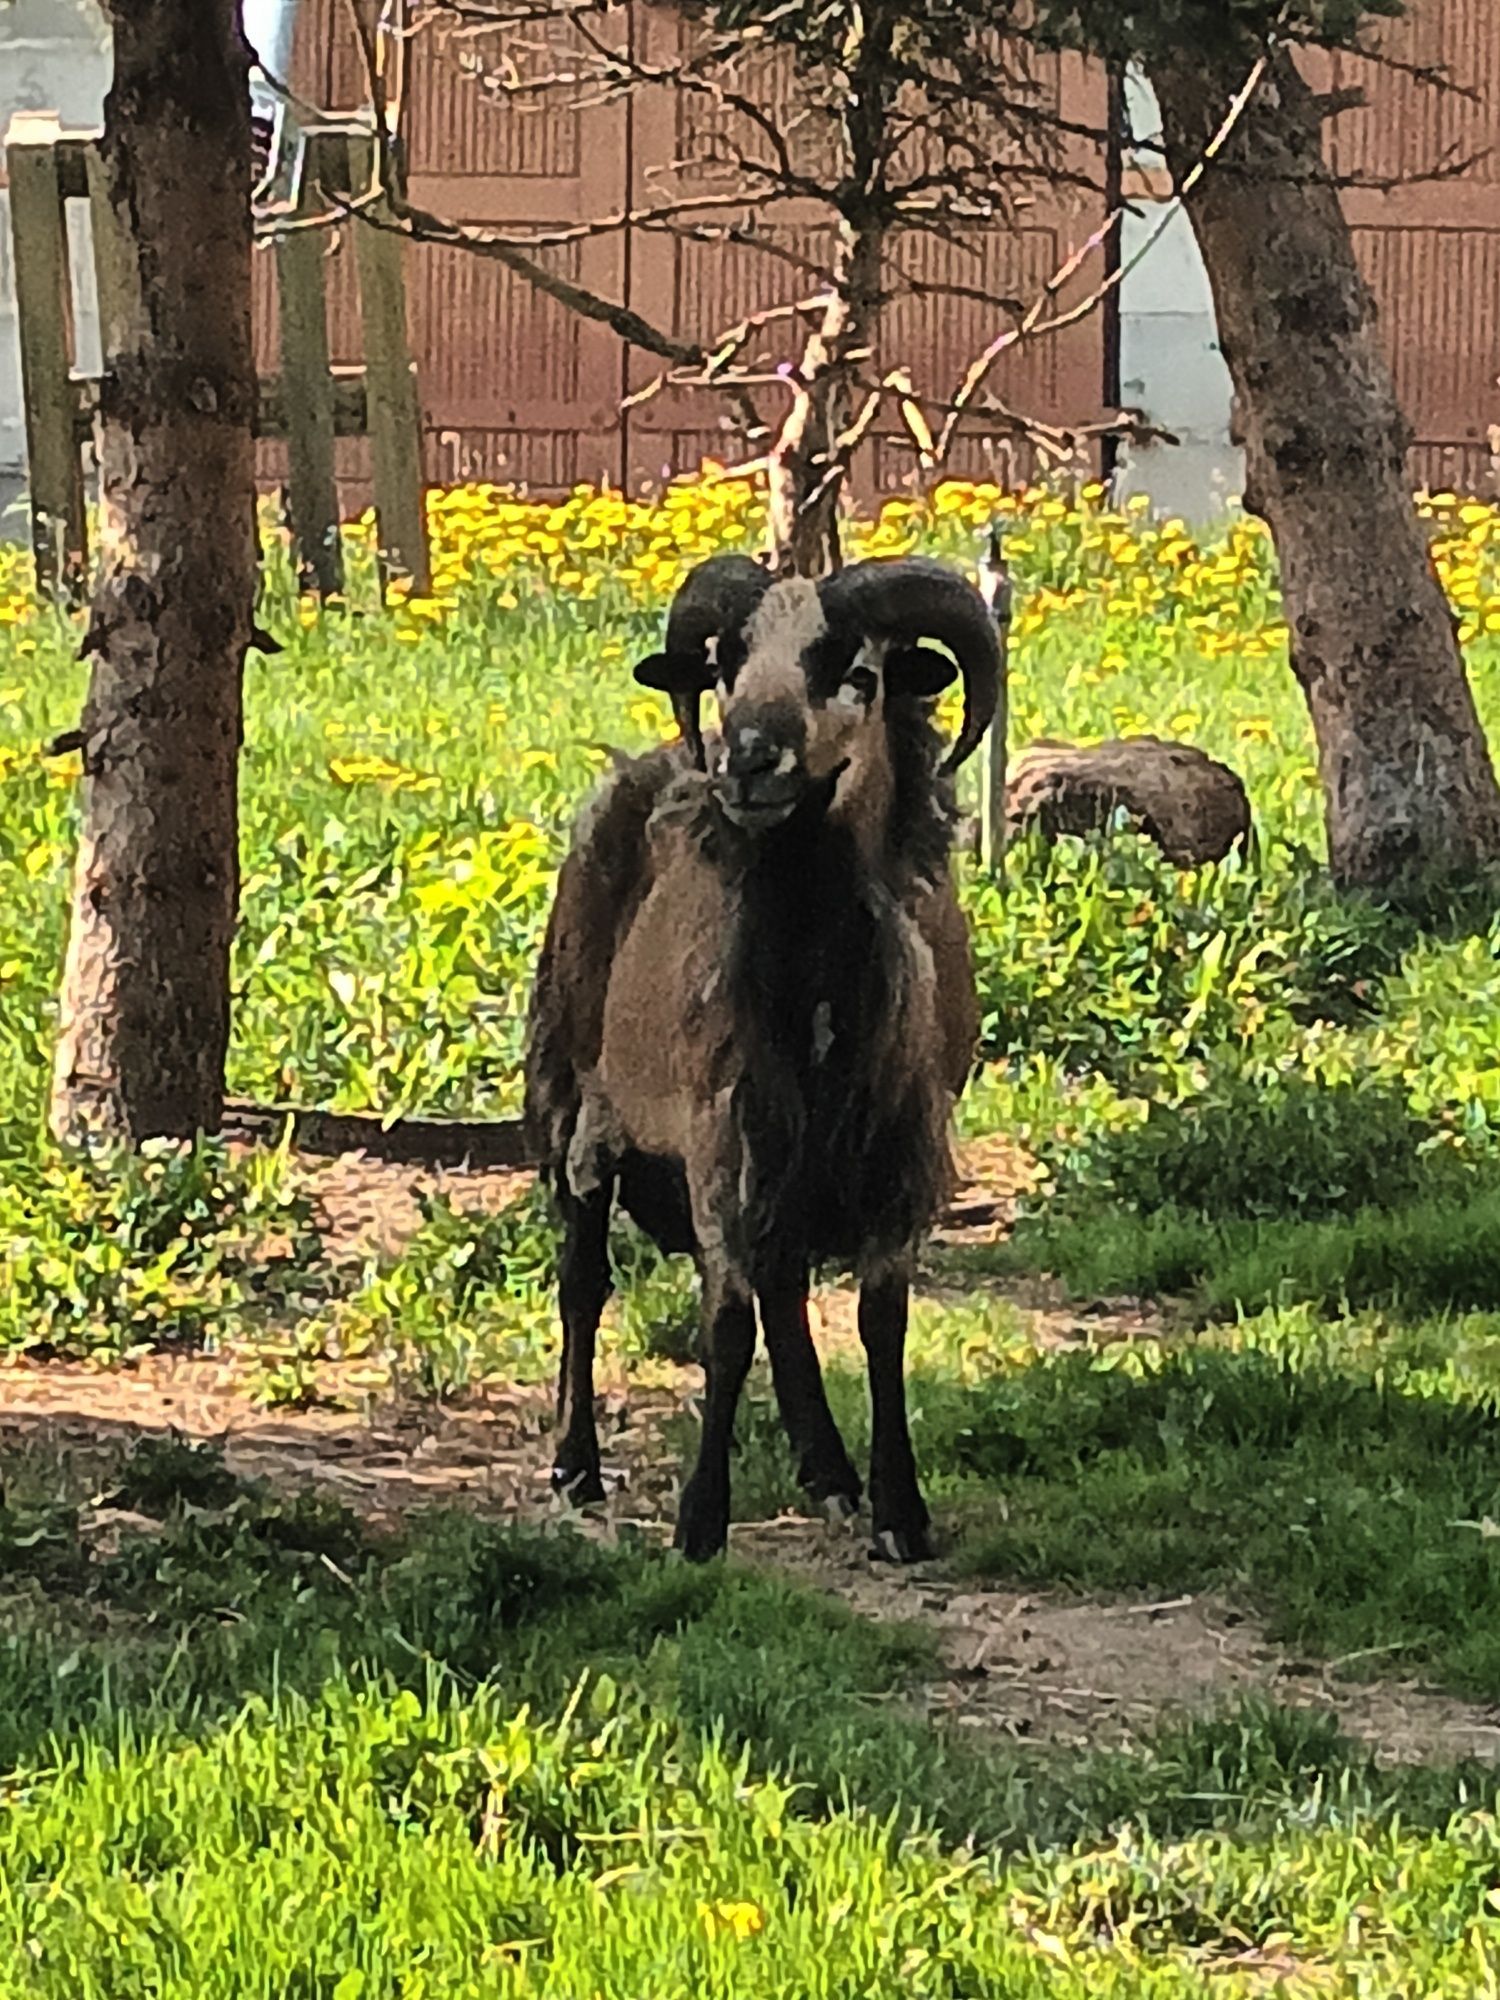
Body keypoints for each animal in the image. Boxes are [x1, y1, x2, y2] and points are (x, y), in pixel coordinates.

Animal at [528, 548, 1012, 1560]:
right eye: (724, 666)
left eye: (857, 672)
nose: (747, 760)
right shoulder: (721, 1134)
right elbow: (724, 1325)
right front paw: (699, 1523)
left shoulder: (900, 1148)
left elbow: (878, 1321)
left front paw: (899, 1512)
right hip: (577, 1101)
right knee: (583, 1280)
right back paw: (575, 1465)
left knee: (784, 1290)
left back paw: (826, 1470)